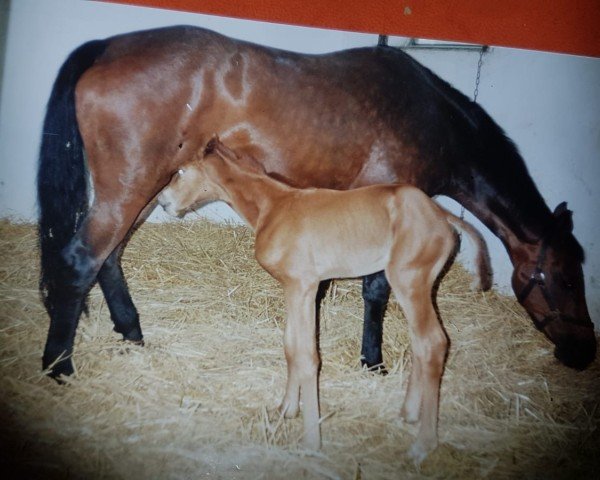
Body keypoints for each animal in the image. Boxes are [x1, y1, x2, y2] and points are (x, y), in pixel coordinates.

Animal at [157, 137, 490, 464]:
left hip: (410, 281)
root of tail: (441, 214)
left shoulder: (303, 286)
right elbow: (291, 348)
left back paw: (422, 445)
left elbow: (307, 356)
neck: (273, 207)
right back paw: (408, 413)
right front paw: (287, 409)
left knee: (433, 343)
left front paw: (311, 442)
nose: (163, 202)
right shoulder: (294, 289)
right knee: (420, 345)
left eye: (182, 171)